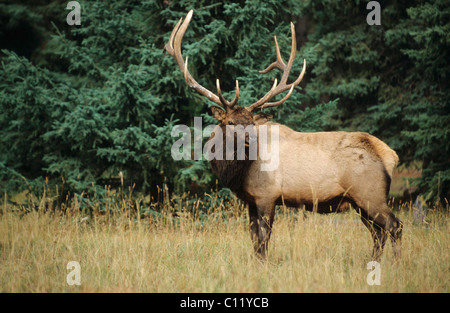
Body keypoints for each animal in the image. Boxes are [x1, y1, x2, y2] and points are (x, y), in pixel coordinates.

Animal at [163, 9, 402, 260]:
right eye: (230, 122)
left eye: (251, 122)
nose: (249, 140)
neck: (238, 173)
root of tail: (389, 156)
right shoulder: (251, 200)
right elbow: (253, 239)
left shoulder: (268, 195)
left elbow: (263, 239)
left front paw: (264, 264)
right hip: (360, 202)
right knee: (378, 233)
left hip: (370, 194)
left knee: (394, 226)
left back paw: (396, 263)